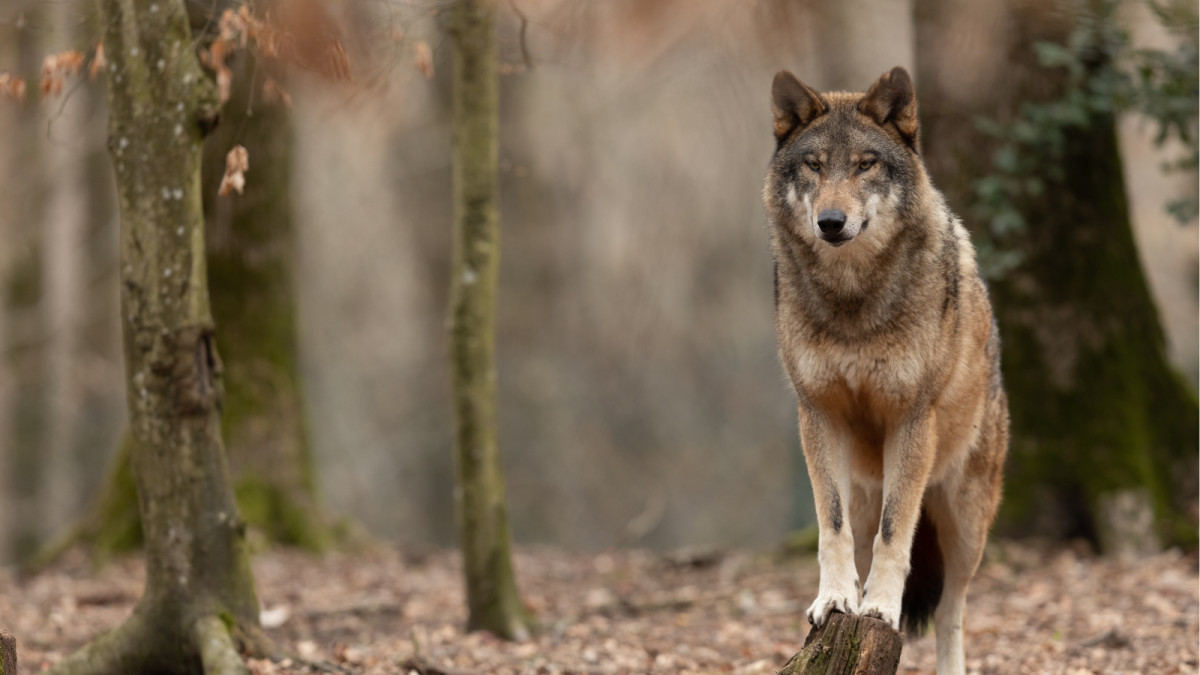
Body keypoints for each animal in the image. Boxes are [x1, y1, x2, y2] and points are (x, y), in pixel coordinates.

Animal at [763, 64, 1008, 672]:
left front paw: (878, 609)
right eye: (814, 165)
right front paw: (835, 600)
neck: (853, 301)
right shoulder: (817, 414)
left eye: (865, 164)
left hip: (964, 523)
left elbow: (897, 535)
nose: (831, 221)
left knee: (951, 610)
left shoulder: (911, 420)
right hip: (865, 490)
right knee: (859, 535)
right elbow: (831, 528)